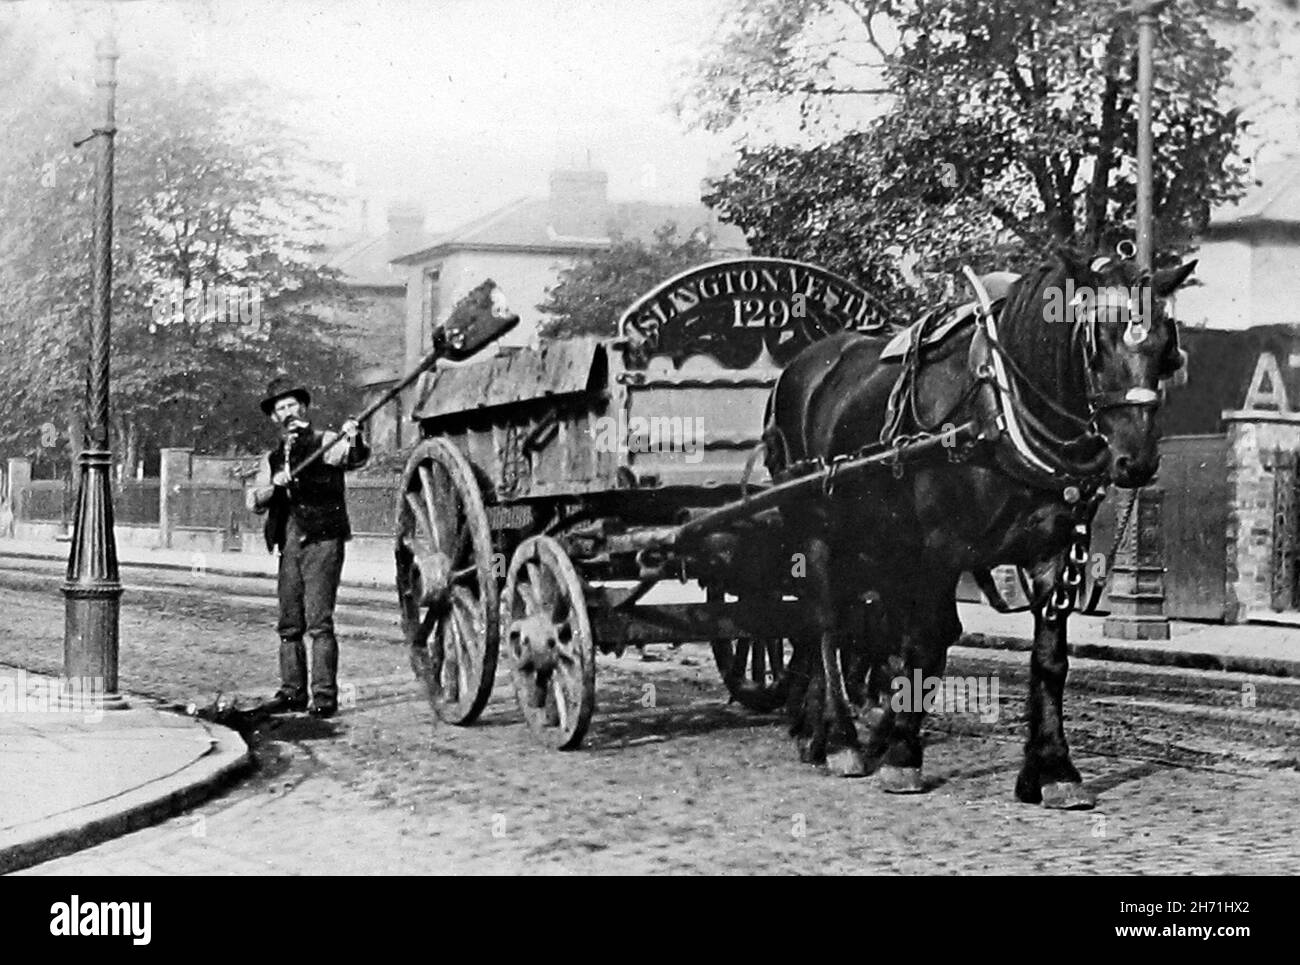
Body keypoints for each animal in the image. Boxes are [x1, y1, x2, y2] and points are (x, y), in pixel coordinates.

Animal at [759, 249, 1196, 806]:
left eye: (1166, 345)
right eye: (1095, 342)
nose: (1136, 462)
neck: (997, 412)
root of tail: (801, 366)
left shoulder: (1053, 551)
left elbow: (1048, 660)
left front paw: (1054, 769)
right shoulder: (940, 547)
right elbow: (924, 644)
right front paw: (903, 758)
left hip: (874, 537)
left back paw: (819, 729)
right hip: (815, 527)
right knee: (827, 624)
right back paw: (840, 738)